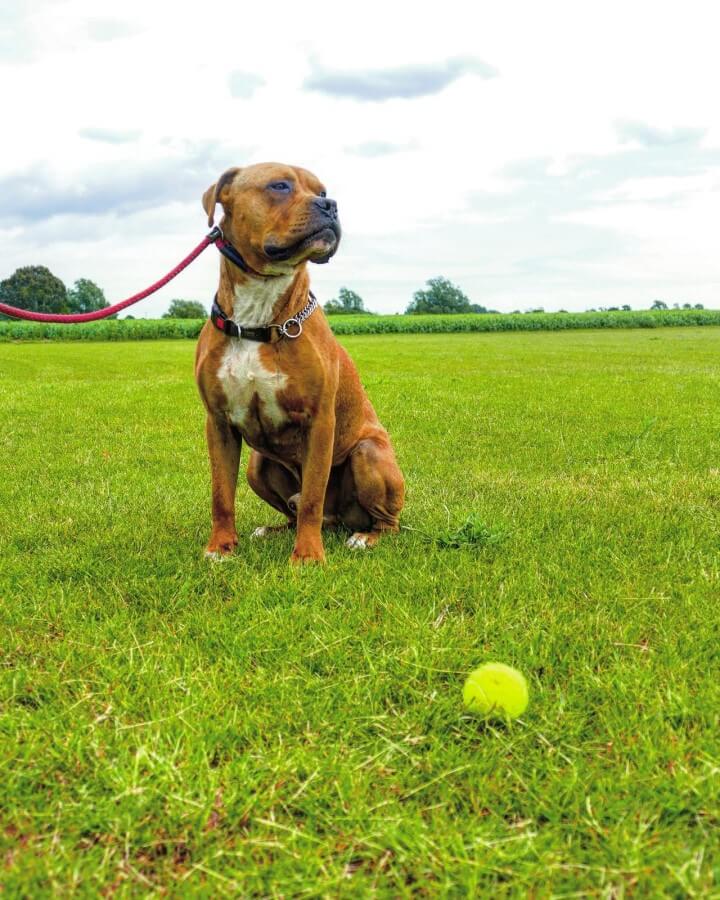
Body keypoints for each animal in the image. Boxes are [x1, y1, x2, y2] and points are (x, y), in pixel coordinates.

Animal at [194, 162, 404, 564]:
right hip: (257, 465)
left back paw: (365, 537)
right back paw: (274, 530)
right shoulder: (219, 423)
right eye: (279, 186)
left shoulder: (319, 423)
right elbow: (220, 493)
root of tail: (339, 520)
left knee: (384, 522)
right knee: (292, 509)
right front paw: (220, 547)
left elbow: (311, 498)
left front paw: (307, 556)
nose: (330, 204)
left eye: (322, 190)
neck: (258, 317)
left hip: (368, 454)